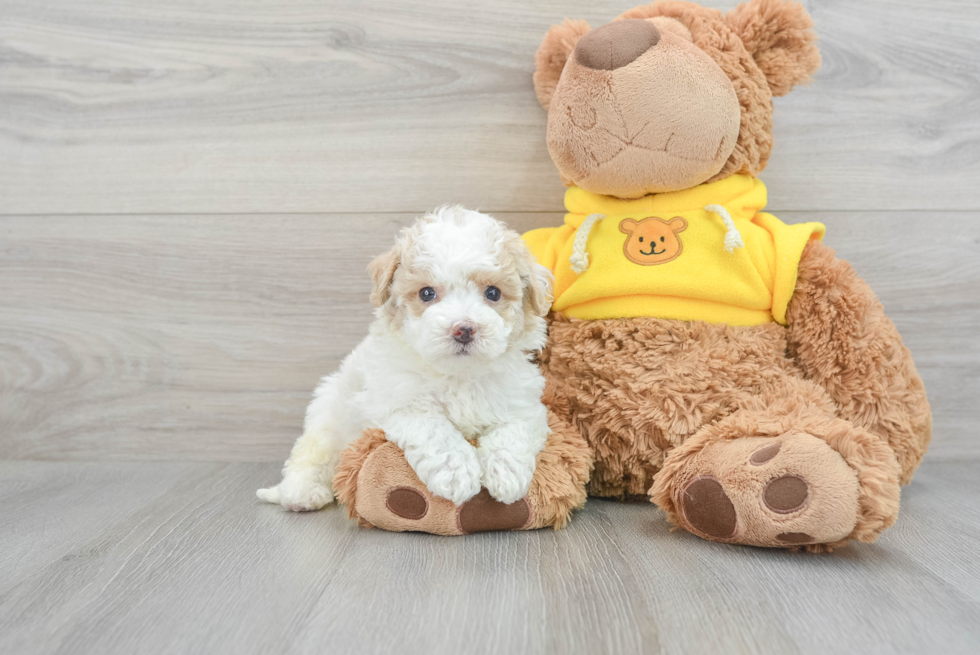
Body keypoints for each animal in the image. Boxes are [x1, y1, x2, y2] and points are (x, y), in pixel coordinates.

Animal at [256, 208, 556, 510]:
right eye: (426, 293)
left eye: (493, 292)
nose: (464, 329)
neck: (458, 375)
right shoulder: (398, 403)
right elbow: (435, 431)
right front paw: (456, 472)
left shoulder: (522, 404)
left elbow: (513, 432)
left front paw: (506, 474)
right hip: (328, 414)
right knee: (312, 453)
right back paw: (303, 493)